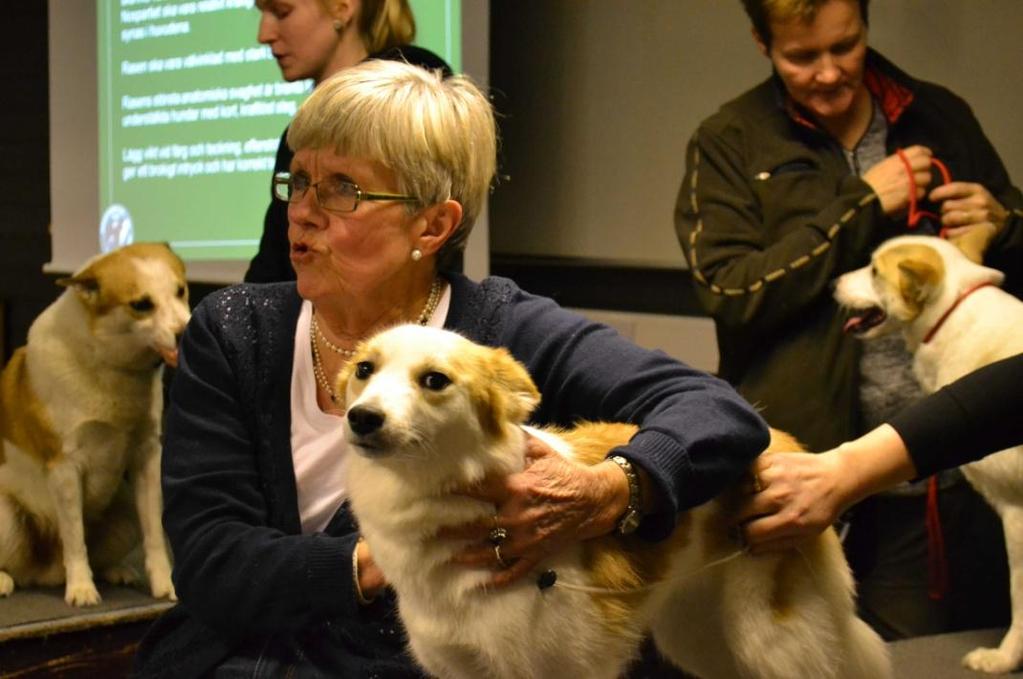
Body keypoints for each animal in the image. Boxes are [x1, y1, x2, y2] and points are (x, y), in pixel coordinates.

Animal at [0, 242, 188, 605]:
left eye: (181, 291)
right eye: (141, 305)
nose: (187, 332)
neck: (105, 361)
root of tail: (44, 574)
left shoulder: (147, 456)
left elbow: (155, 535)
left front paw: (165, 583)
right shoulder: (65, 468)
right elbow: (74, 539)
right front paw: (81, 589)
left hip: (125, 510)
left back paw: (116, 571)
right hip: (6, 519)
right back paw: (6, 580)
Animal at [339, 323, 892, 679]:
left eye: (434, 380)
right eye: (365, 369)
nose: (361, 418)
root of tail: (783, 441)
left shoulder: (561, 670)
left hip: (773, 640)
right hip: (701, 635)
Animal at [834, 235, 1023, 674]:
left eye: (874, 271)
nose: (834, 282)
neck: (952, 314)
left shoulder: (1016, 510)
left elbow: (1020, 596)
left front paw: (1004, 659)